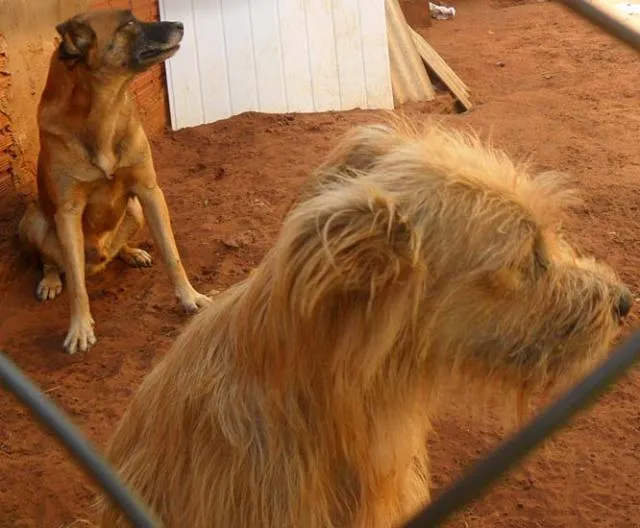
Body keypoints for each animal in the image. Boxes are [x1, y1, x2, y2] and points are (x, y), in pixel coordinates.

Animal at [18, 8, 210, 352]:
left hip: (134, 210)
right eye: (129, 23)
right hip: (33, 219)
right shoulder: (67, 213)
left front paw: (190, 297)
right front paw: (79, 328)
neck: (104, 110)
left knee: (117, 246)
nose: (180, 23)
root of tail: (99, 258)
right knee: (52, 261)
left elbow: (172, 254)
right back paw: (51, 279)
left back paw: (131, 252)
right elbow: (77, 286)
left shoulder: (149, 192)